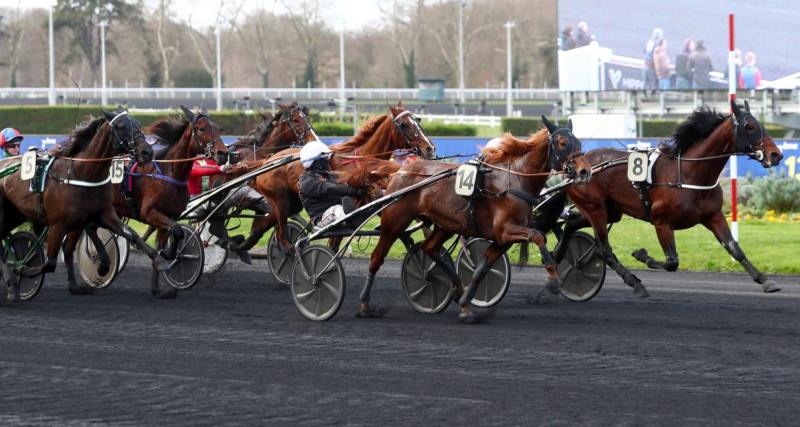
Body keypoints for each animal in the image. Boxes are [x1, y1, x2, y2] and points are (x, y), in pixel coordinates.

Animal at [0, 108, 169, 300]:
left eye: (138, 125)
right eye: (121, 126)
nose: (147, 152)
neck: (82, 174)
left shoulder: (104, 214)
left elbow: (131, 234)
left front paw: (160, 261)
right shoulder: (57, 225)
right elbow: (50, 262)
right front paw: (22, 270)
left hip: (15, 215)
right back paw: (12, 283)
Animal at [242, 102, 438, 256]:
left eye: (418, 121)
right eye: (404, 125)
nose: (429, 148)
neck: (363, 160)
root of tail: (268, 160)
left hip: (292, 202)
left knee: (267, 222)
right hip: (280, 200)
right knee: (281, 231)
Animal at [360, 117, 592, 324]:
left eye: (579, 143)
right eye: (562, 143)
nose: (585, 171)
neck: (514, 179)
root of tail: (400, 170)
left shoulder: (503, 239)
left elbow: (481, 270)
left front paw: (465, 307)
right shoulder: (505, 229)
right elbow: (538, 236)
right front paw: (553, 279)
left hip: (447, 224)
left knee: (429, 247)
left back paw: (456, 287)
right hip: (395, 221)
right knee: (377, 257)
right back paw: (365, 305)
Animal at [552, 103, 784, 298]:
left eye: (761, 125)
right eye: (749, 126)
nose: (776, 155)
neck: (688, 174)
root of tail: (572, 167)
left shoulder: (713, 216)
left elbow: (734, 248)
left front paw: (765, 280)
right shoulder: (661, 222)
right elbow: (672, 262)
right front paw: (641, 254)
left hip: (610, 211)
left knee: (572, 223)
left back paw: (559, 258)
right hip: (595, 208)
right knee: (604, 249)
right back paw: (633, 282)